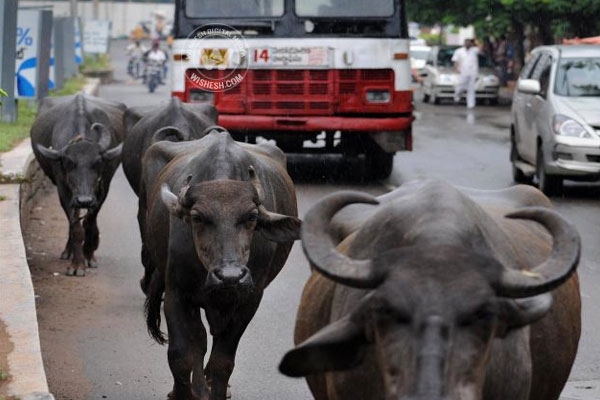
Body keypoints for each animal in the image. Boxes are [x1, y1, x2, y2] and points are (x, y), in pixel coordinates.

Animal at [30, 93, 125, 276]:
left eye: (97, 162)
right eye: (68, 163)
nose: (84, 200)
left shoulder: (102, 188)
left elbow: (89, 221)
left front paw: (89, 254)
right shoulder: (64, 189)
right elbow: (75, 227)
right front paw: (77, 264)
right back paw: (69, 251)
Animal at [143, 130, 302, 398]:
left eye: (252, 217)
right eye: (197, 217)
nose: (230, 276)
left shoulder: (249, 299)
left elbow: (222, 361)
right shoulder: (176, 293)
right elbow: (181, 356)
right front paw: (182, 392)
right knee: (199, 340)